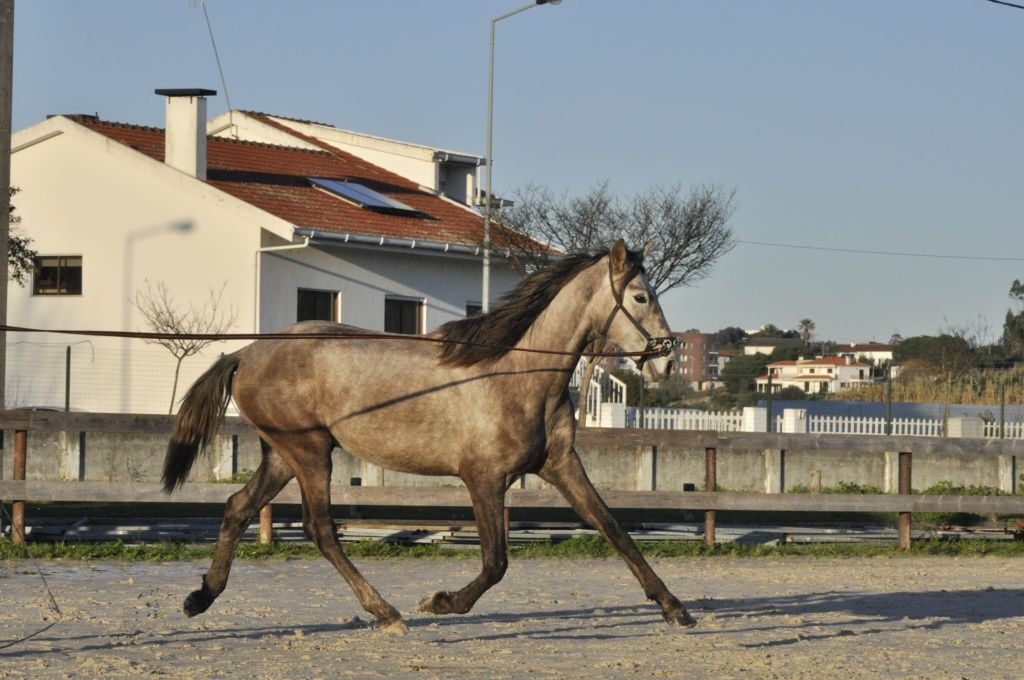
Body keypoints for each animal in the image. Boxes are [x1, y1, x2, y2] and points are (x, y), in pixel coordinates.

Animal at [163, 238, 700, 630]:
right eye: (641, 297)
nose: (667, 362)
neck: (518, 374)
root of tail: (244, 353)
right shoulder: (483, 478)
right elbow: (496, 562)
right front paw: (438, 602)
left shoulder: (561, 465)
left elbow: (614, 528)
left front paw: (675, 608)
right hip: (310, 452)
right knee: (320, 530)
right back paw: (386, 613)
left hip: (282, 456)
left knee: (238, 507)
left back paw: (200, 597)